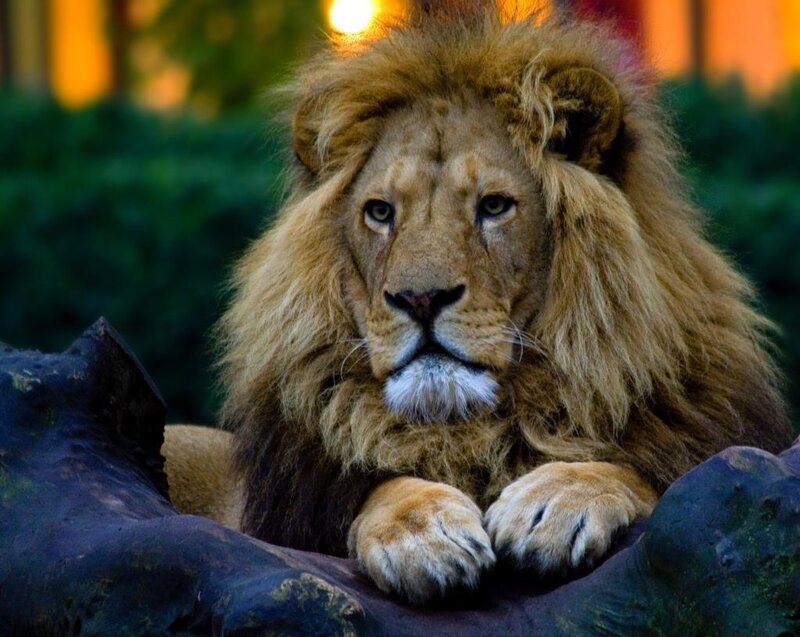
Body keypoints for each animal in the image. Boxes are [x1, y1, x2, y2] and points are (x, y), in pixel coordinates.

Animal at [162, 3, 793, 605]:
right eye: (380, 212)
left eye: (493, 206)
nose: (420, 298)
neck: (471, 430)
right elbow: (379, 484)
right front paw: (422, 533)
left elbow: (649, 476)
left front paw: (555, 501)